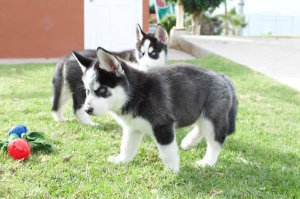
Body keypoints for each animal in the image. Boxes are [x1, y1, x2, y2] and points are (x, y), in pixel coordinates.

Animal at [72, 46, 237, 171]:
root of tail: (222, 76)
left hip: (212, 116)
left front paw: (172, 171)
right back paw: (188, 142)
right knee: (201, 128)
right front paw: (121, 160)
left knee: (216, 139)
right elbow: (127, 146)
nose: (87, 110)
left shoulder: (163, 125)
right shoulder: (133, 128)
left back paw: (207, 162)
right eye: (87, 91)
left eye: (102, 90)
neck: (135, 93)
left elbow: (167, 152)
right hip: (200, 113)